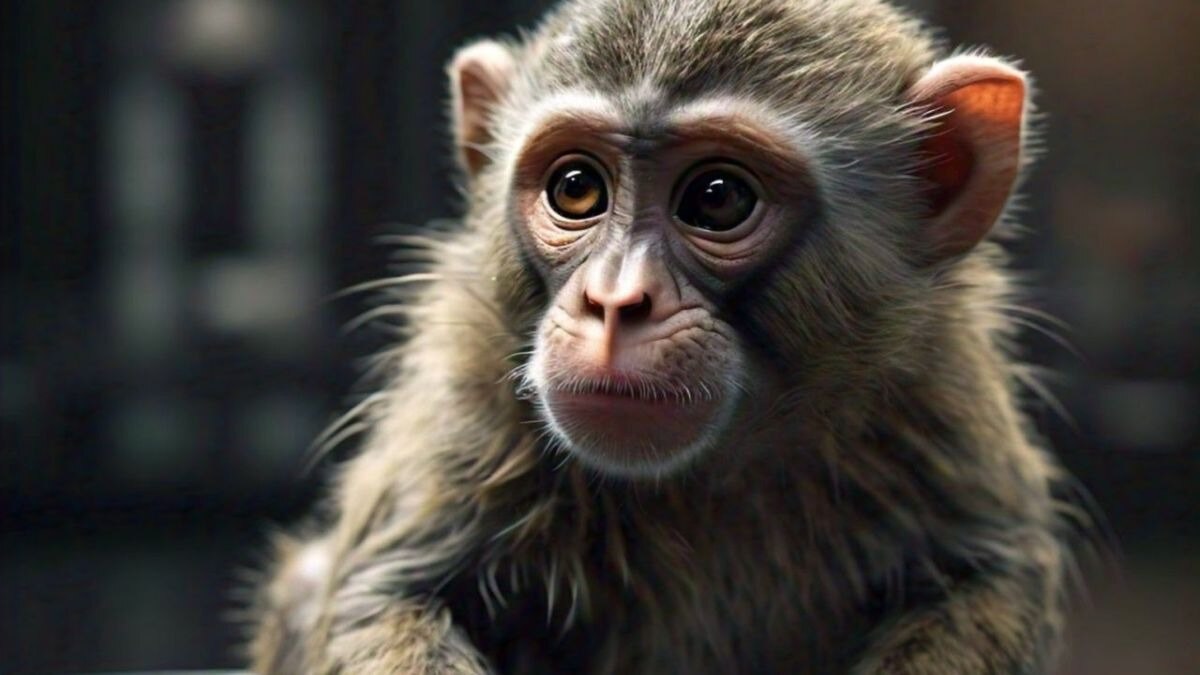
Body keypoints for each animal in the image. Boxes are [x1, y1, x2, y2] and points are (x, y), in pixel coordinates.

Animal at [248, 0, 1085, 672]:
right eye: (576, 188)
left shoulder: (940, 385)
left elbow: (990, 581)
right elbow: (378, 594)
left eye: (716, 198)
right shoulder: (466, 375)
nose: (616, 301)